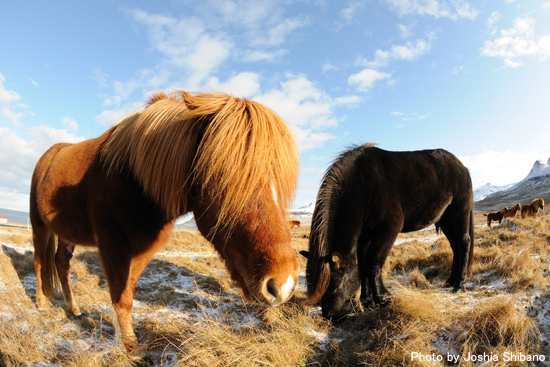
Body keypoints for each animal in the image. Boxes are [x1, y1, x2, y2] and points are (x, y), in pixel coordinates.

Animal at [29, 90, 302, 352]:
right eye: (224, 173)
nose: (283, 285)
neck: (133, 178)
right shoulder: (112, 247)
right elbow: (120, 295)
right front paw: (128, 345)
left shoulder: (142, 251)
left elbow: (128, 292)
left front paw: (127, 340)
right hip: (39, 226)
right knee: (41, 261)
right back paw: (41, 302)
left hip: (66, 233)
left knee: (61, 263)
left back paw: (73, 308)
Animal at [304, 144, 476, 322]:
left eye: (335, 284)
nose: (331, 316)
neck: (364, 185)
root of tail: (462, 167)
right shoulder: (364, 237)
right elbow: (362, 268)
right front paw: (367, 300)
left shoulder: (388, 230)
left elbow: (372, 264)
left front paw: (382, 298)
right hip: (445, 218)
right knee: (455, 247)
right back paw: (450, 280)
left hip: (458, 213)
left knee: (463, 244)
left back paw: (459, 284)